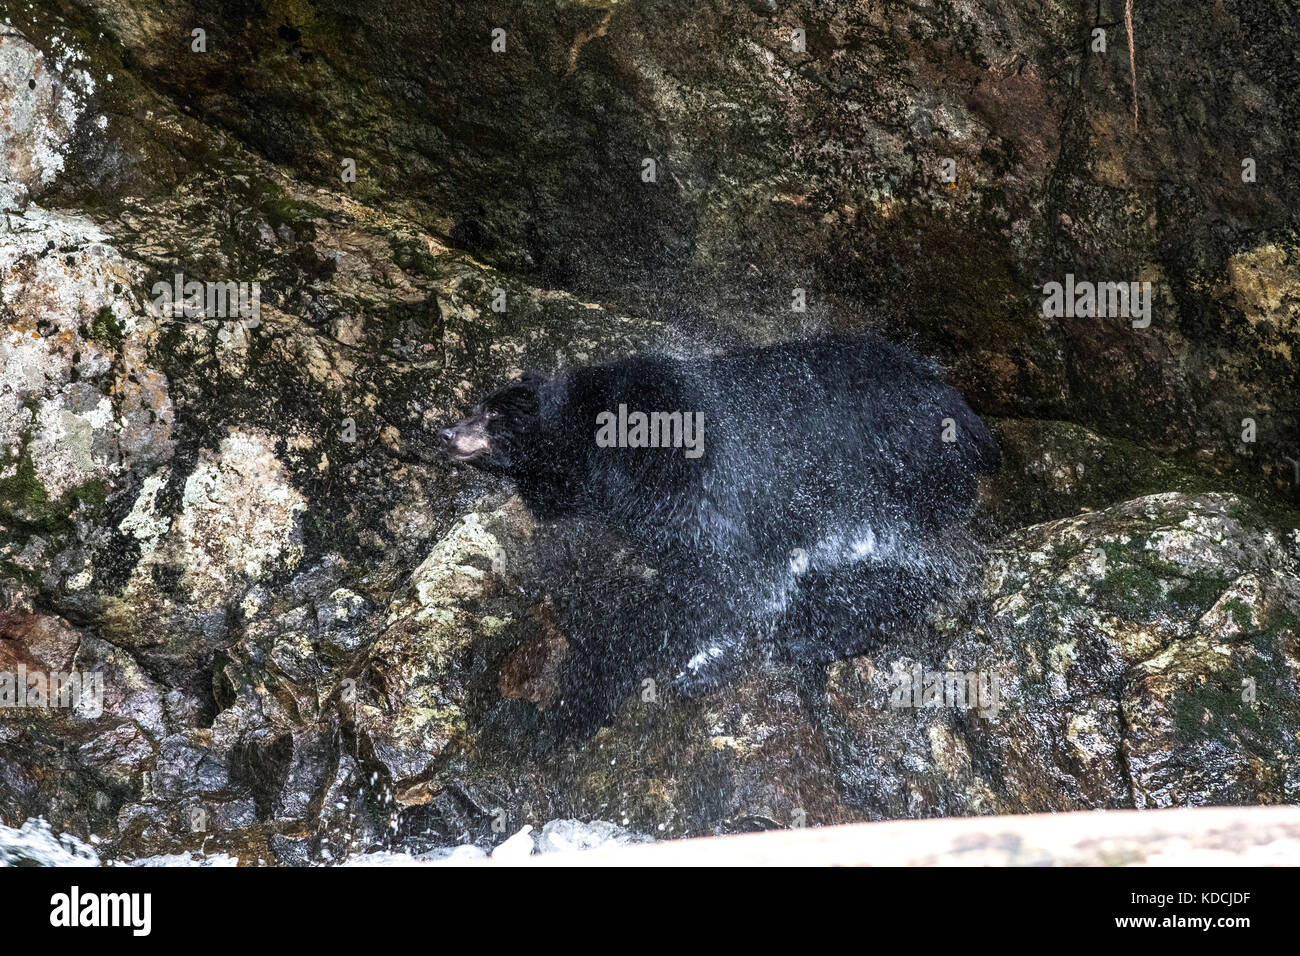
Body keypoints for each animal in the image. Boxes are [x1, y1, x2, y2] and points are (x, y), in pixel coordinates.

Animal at [441, 333, 998, 726]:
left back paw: (817, 635)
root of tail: (968, 415)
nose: (446, 432)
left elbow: (729, 571)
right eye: (477, 405)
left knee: (909, 565)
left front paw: (696, 663)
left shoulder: (680, 462)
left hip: (890, 475)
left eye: (492, 412)